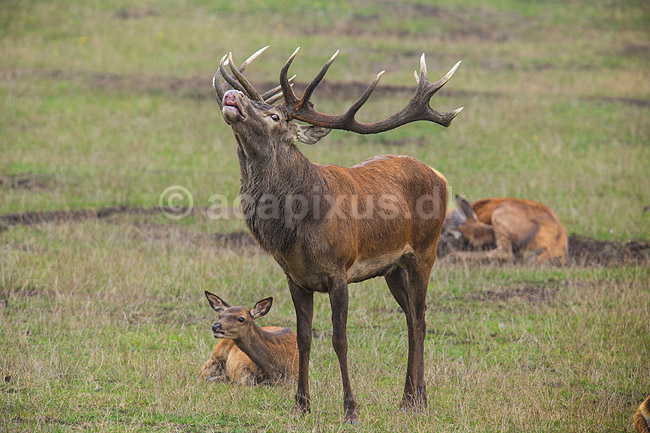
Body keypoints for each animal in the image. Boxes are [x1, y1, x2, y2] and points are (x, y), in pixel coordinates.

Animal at [211, 46, 463, 423]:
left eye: (275, 116)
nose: (232, 95)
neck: (295, 230)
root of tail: (440, 175)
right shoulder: (296, 278)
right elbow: (303, 338)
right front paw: (301, 405)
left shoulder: (338, 271)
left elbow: (339, 340)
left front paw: (350, 409)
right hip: (392, 268)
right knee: (409, 318)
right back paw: (408, 398)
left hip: (425, 250)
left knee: (420, 319)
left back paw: (417, 400)